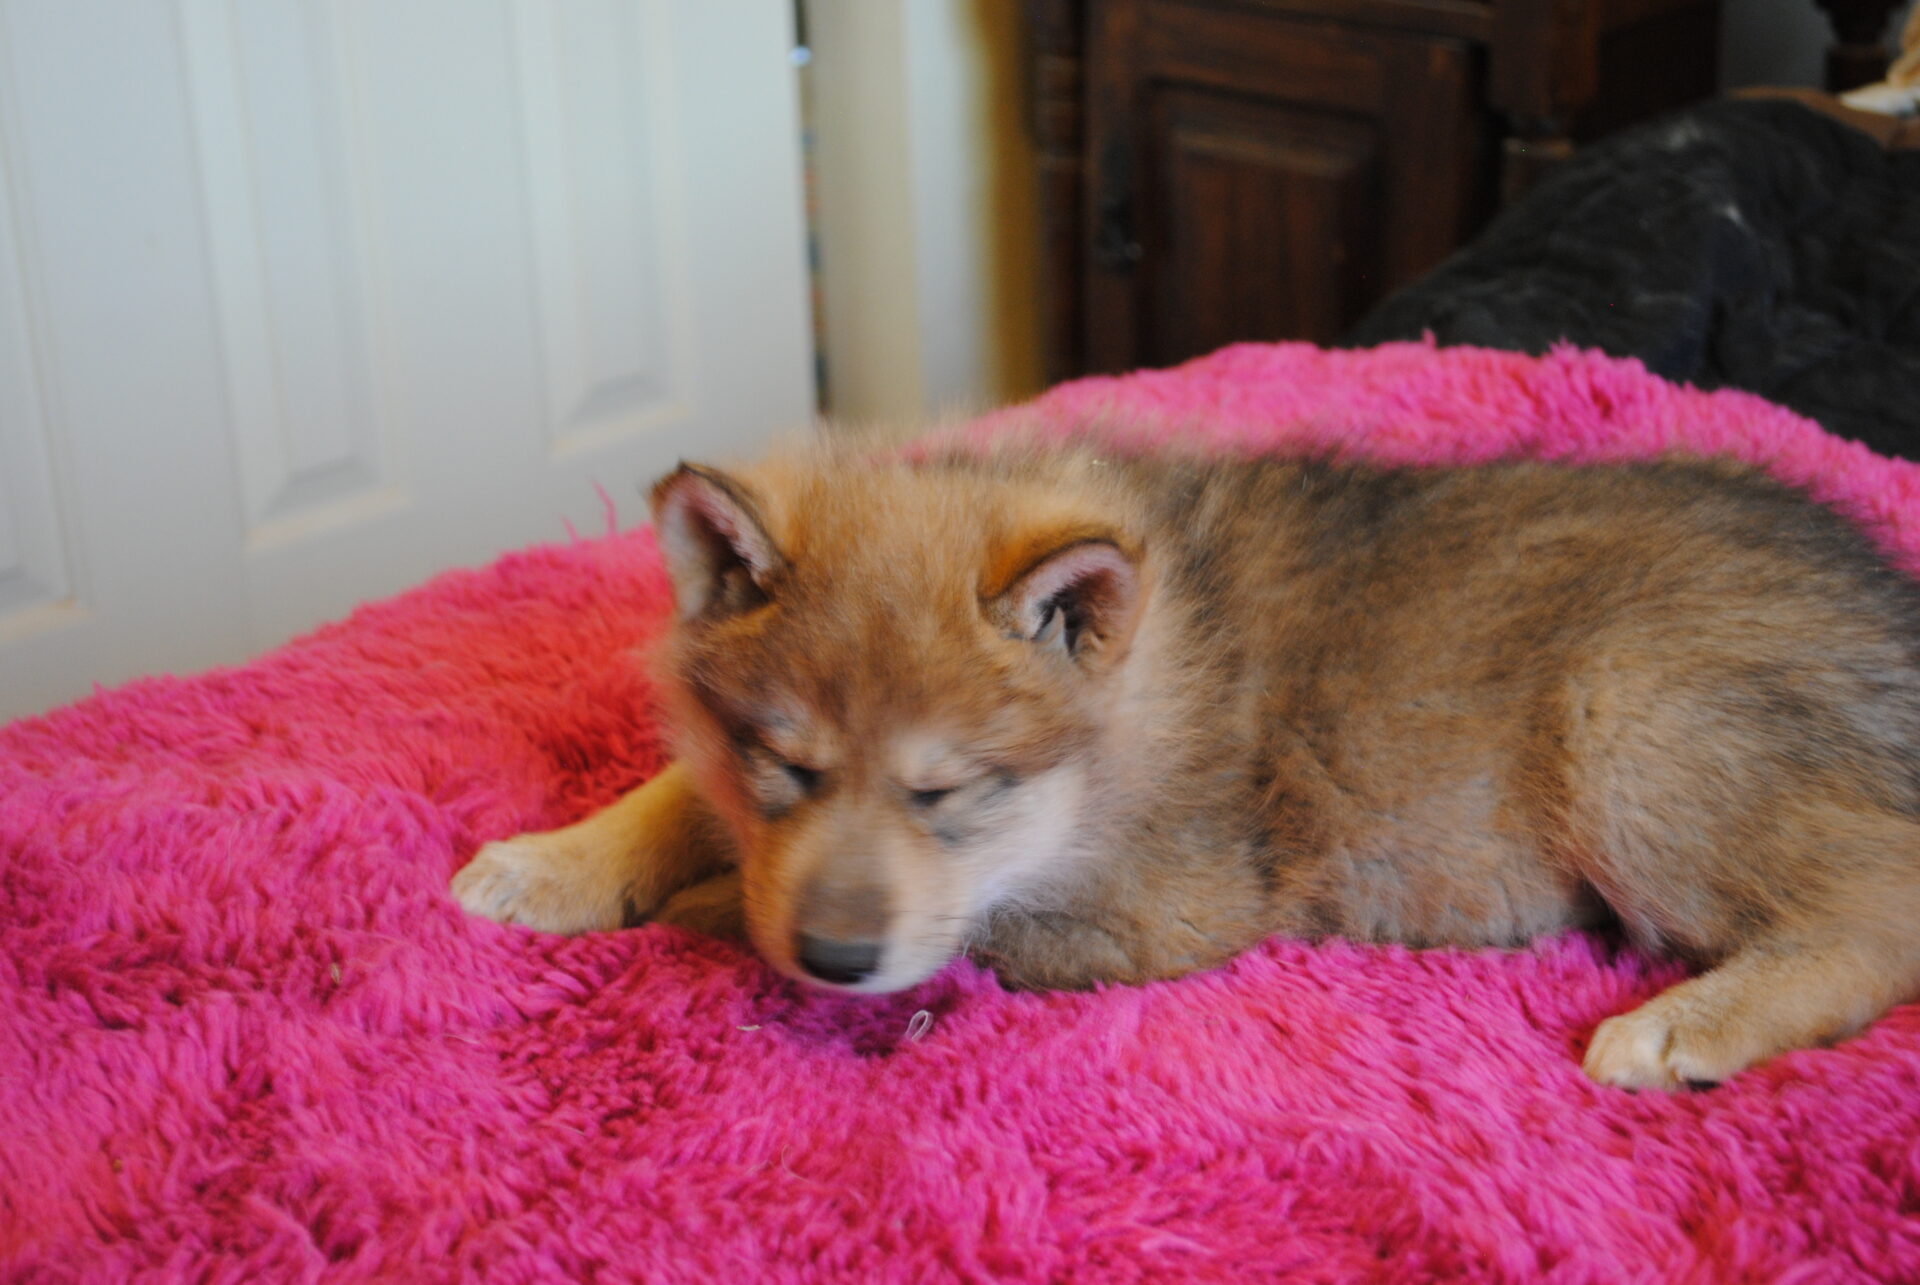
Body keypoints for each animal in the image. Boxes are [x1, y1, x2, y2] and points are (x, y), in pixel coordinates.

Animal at [453, 436, 1920, 1091]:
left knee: (1874, 919)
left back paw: (1687, 1025)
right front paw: (553, 864)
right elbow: (673, 797)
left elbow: (965, 931)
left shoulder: (1170, 909)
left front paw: (700, 914)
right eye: (786, 767)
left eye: (948, 791)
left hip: (1633, 722)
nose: (833, 956)